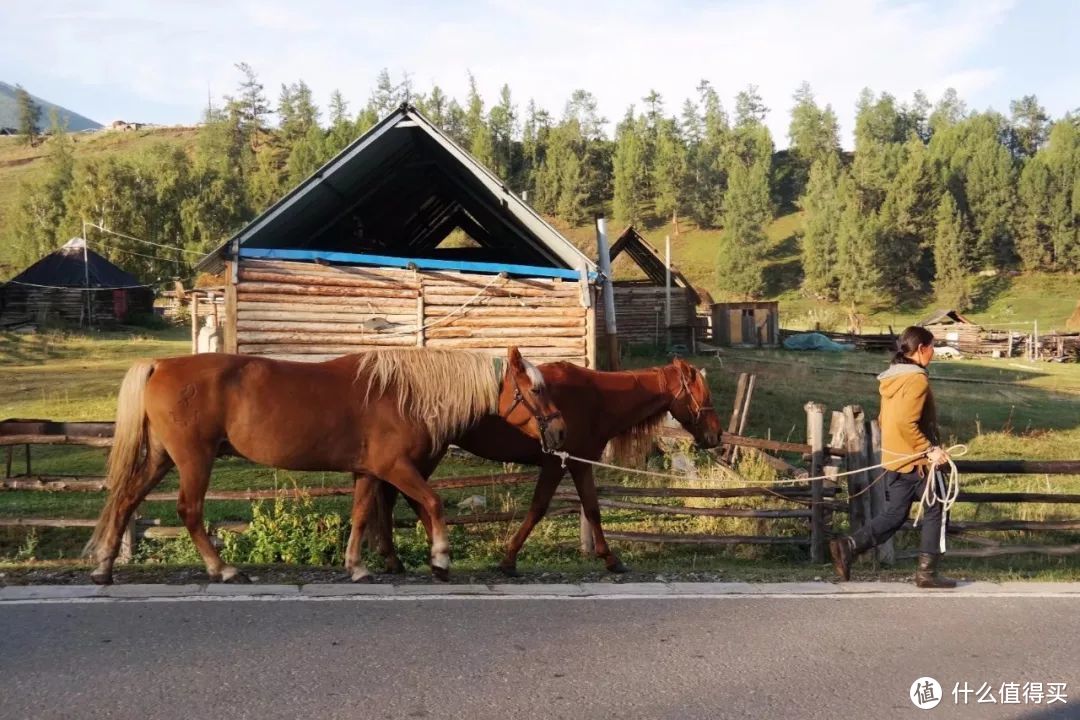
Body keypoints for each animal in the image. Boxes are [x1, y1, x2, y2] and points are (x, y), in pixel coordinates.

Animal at [84, 345, 565, 587]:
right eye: (536, 389)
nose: (560, 431)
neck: (403, 393)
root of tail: (161, 363)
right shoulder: (394, 467)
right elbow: (433, 503)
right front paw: (441, 559)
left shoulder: (368, 472)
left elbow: (360, 515)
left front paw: (357, 566)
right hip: (193, 459)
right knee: (189, 511)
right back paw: (223, 569)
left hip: (162, 458)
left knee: (125, 500)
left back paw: (105, 566)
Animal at [358, 358, 721, 578]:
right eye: (704, 396)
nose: (715, 436)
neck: (597, 397)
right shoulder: (555, 464)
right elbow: (538, 508)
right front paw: (508, 560)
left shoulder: (578, 464)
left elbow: (592, 508)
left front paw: (610, 558)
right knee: (401, 497)